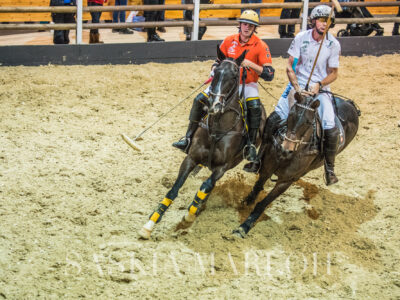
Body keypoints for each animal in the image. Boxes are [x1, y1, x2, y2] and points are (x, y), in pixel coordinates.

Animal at [140, 50, 266, 240]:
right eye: (216, 72)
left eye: (235, 75)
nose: (214, 105)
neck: (217, 128)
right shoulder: (191, 158)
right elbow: (174, 189)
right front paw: (150, 224)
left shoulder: (223, 167)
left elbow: (205, 186)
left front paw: (189, 216)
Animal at [231, 92, 360, 238]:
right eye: (291, 115)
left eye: (309, 122)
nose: (285, 149)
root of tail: (350, 104)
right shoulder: (267, 168)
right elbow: (257, 186)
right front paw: (246, 202)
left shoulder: (285, 181)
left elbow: (263, 203)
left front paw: (243, 227)